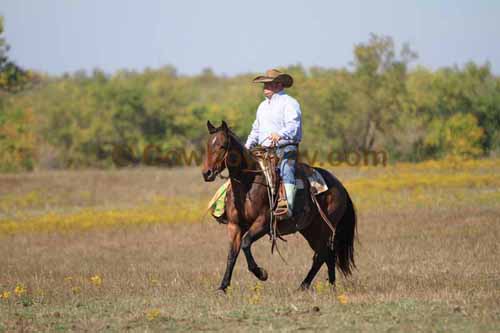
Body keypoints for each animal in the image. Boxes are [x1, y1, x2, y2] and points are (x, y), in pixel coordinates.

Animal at [200, 120, 356, 292]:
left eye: (222, 146)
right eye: (208, 145)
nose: (206, 173)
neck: (248, 185)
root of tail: (339, 185)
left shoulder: (263, 223)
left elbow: (246, 243)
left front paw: (261, 273)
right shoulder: (234, 225)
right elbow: (232, 254)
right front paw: (222, 287)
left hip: (325, 228)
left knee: (322, 255)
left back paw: (306, 286)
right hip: (310, 229)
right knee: (326, 254)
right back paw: (328, 286)